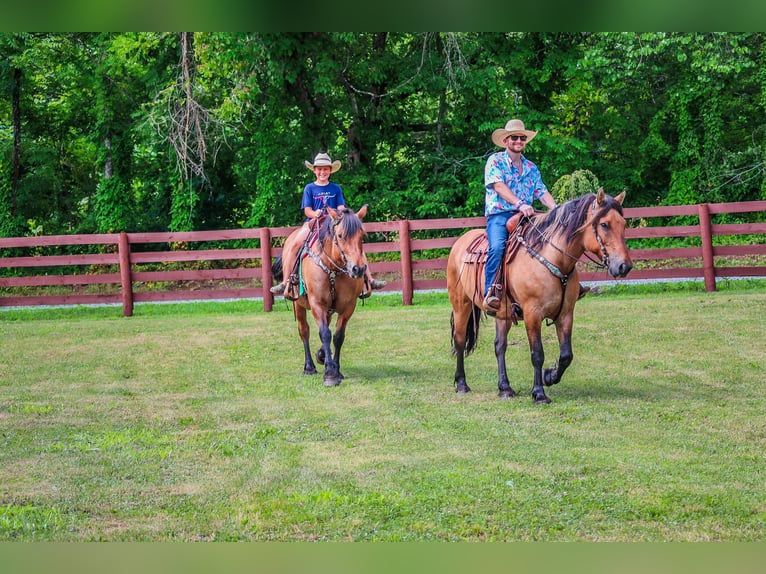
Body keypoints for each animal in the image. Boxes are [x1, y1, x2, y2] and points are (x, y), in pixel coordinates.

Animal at [274, 206, 370, 388]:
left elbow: (338, 336)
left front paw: (335, 368)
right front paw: (330, 374)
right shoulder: (317, 304)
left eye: (362, 236)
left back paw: (322, 356)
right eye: (340, 235)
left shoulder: (348, 306)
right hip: (299, 305)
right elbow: (324, 333)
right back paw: (309, 366)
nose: (358, 269)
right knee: (304, 331)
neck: (333, 269)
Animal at [448, 189, 632, 404]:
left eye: (623, 224)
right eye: (604, 224)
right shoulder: (532, 314)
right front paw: (539, 393)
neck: (553, 259)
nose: (624, 266)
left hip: (503, 314)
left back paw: (505, 388)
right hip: (461, 305)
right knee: (460, 340)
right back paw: (462, 384)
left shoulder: (565, 314)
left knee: (499, 346)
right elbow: (537, 354)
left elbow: (566, 355)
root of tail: (460, 243)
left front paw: (549, 376)